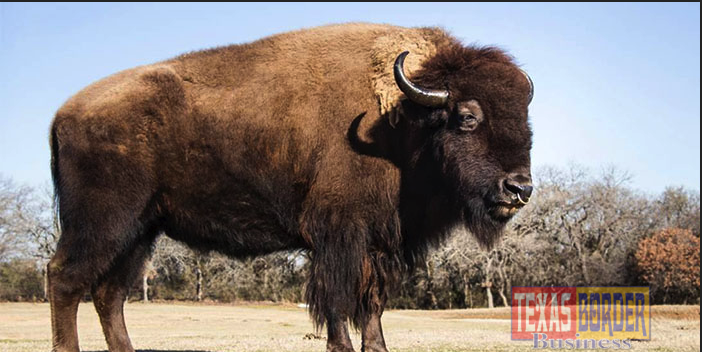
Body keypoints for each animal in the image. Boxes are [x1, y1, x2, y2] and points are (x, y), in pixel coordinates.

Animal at [48, 23, 532, 350]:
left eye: (525, 121)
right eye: (467, 117)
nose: (519, 188)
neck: (399, 118)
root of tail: (62, 114)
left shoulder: (380, 244)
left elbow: (372, 304)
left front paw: (377, 347)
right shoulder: (338, 237)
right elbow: (336, 301)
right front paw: (342, 347)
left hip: (139, 232)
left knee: (109, 295)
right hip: (103, 225)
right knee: (65, 279)